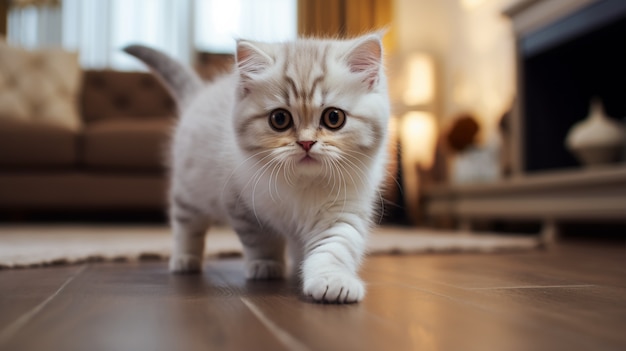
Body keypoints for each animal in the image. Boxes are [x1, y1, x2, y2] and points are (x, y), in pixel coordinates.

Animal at [124, 33, 388, 304]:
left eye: (333, 118)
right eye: (279, 119)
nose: (306, 143)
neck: (303, 184)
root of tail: (200, 94)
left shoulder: (343, 211)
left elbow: (334, 247)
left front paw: (331, 281)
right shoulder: (242, 205)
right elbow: (260, 241)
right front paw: (266, 265)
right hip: (189, 190)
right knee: (186, 225)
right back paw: (185, 259)